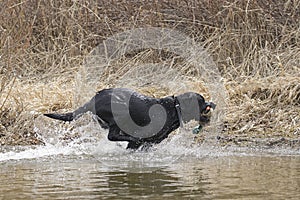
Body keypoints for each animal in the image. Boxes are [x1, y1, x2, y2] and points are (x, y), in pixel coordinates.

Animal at [44, 88, 216, 149]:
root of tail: (94, 99)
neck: (174, 109)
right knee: (112, 136)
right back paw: (133, 137)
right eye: (202, 101)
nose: (211, 103)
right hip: (119, 114)